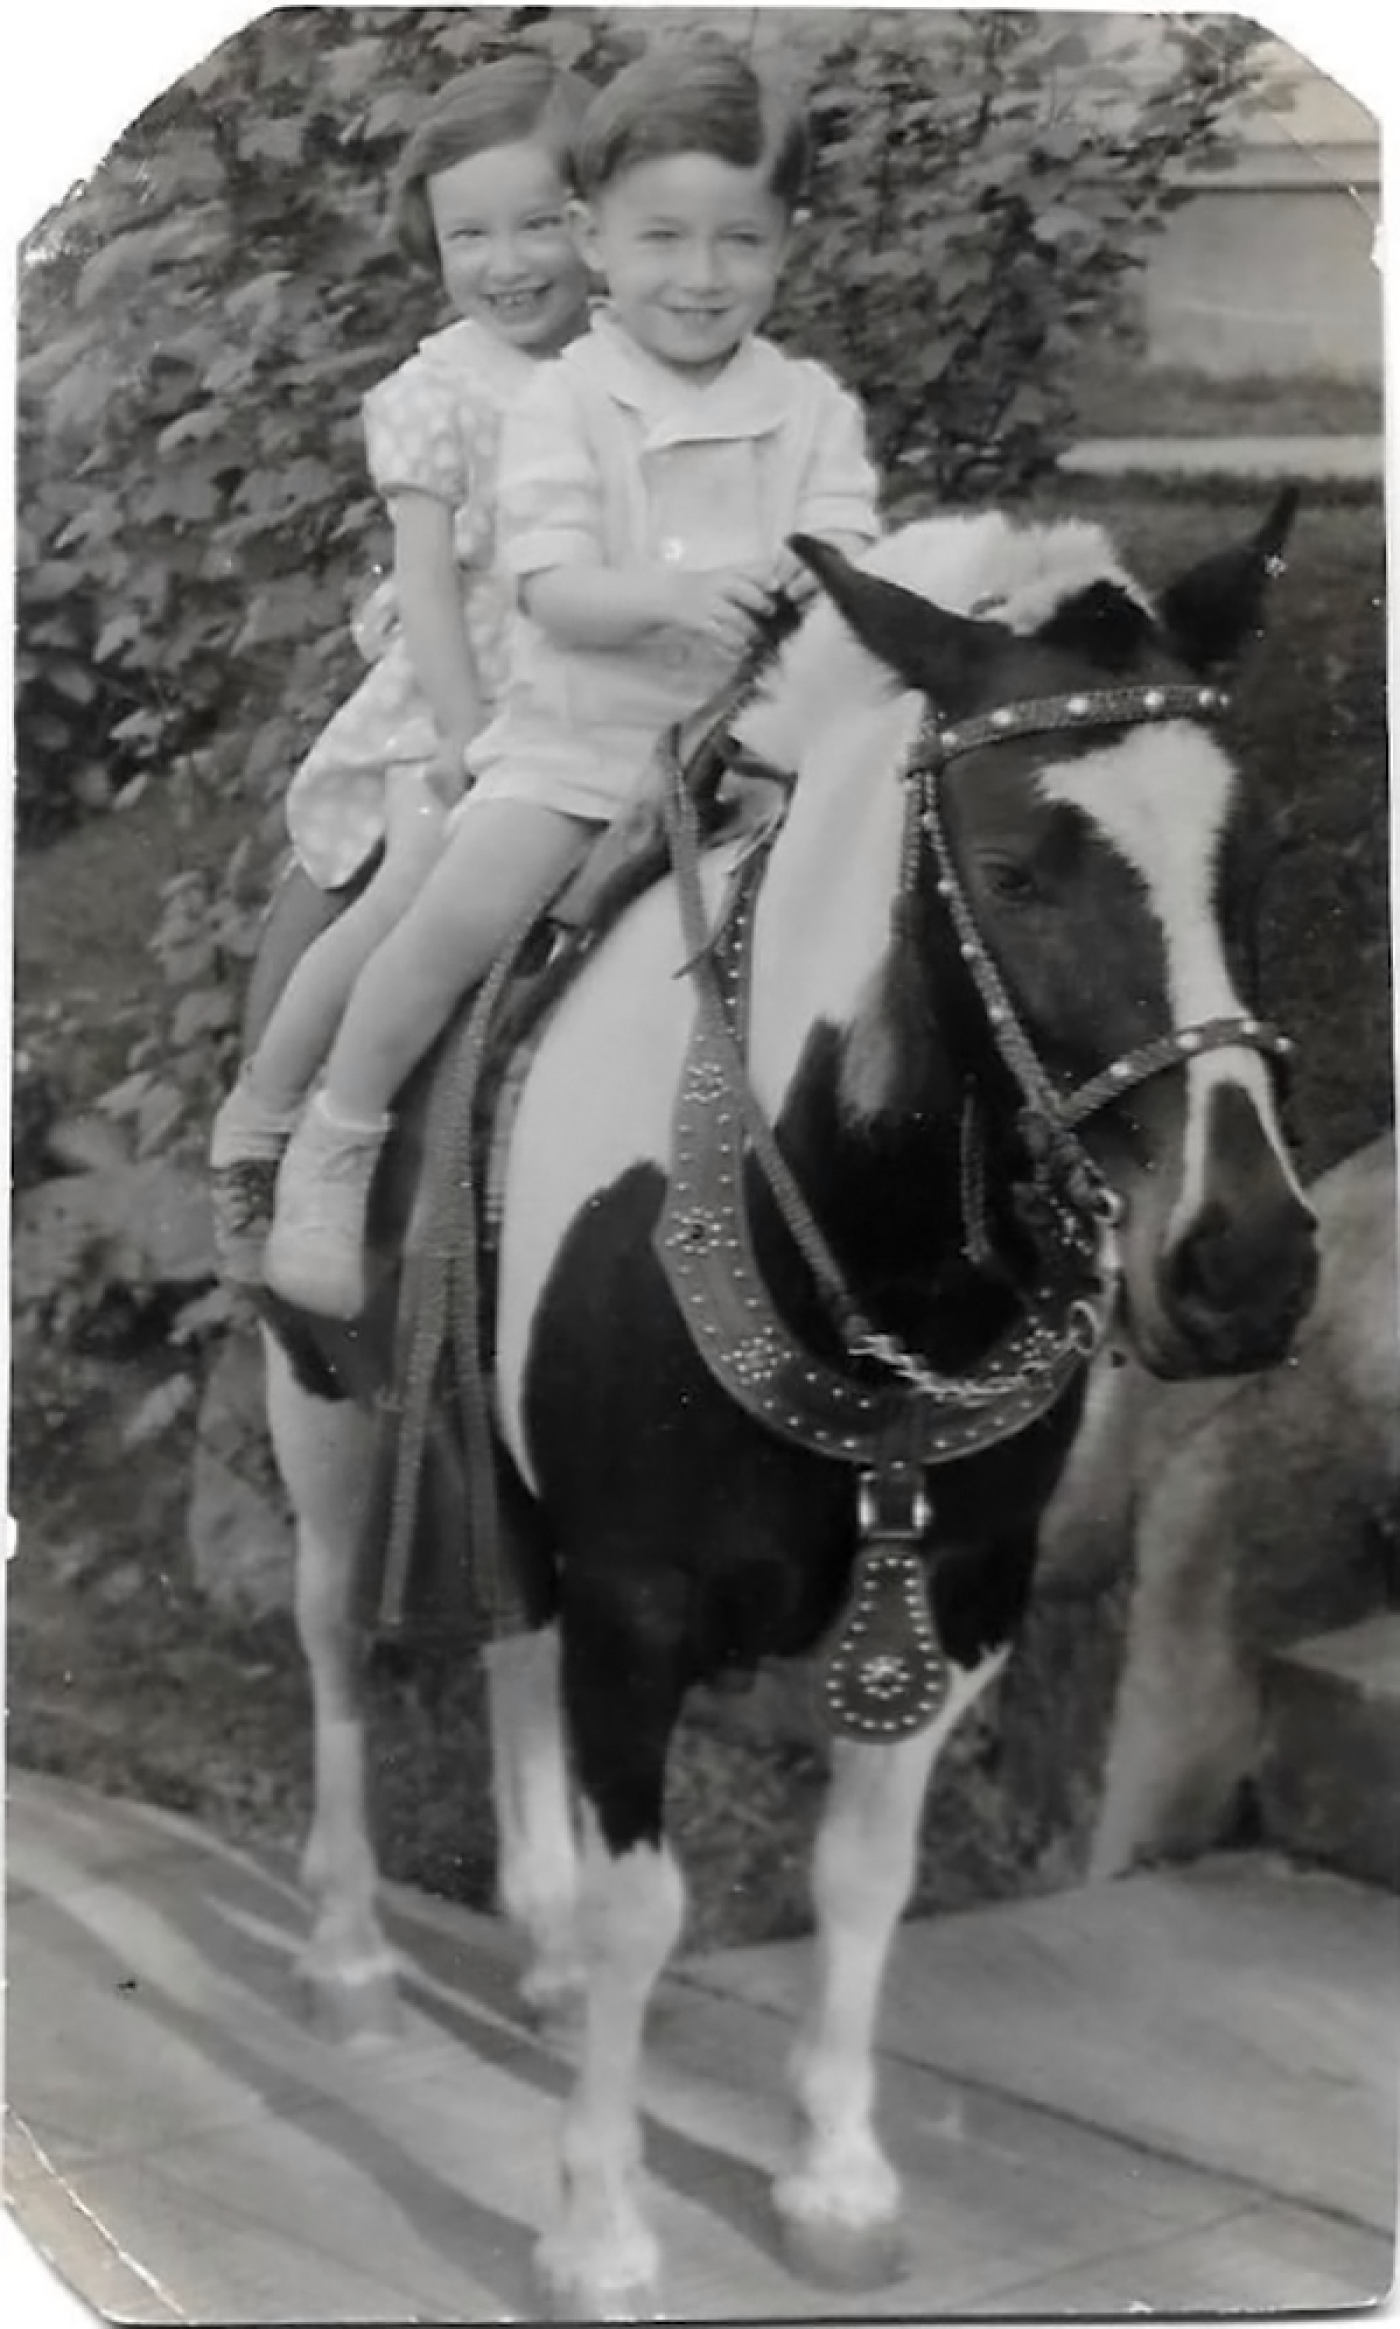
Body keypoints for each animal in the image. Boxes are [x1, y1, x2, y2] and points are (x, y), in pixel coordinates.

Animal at [262, 495, 1319, 2318]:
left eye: (1243, 862)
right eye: (1017, 871)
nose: (1243, 1258)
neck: (836, 1224)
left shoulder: (957, 1600)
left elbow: (863, 1876)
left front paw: (833, 2178)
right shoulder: (642, 1598)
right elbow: (653, 1904)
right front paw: (600, 2226)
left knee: (510, 1644)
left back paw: (538, 1950)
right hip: (321, 1409)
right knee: (336, 1642)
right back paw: (349, 1957)